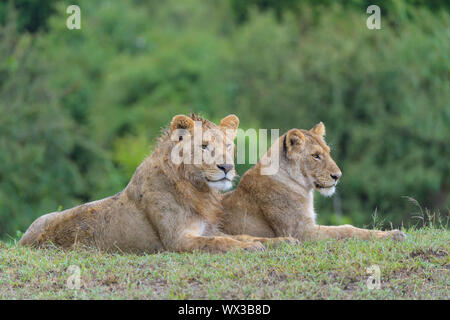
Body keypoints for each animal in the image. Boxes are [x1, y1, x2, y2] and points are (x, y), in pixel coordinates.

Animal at [19, 114, 290, 254]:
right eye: (204, 146)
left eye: (228, 145)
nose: (227, 167)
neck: (198, 189)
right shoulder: (178, 240)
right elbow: (222, 242)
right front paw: (252, 247)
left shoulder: (207, 228)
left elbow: (241, 234)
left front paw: (281, 241)